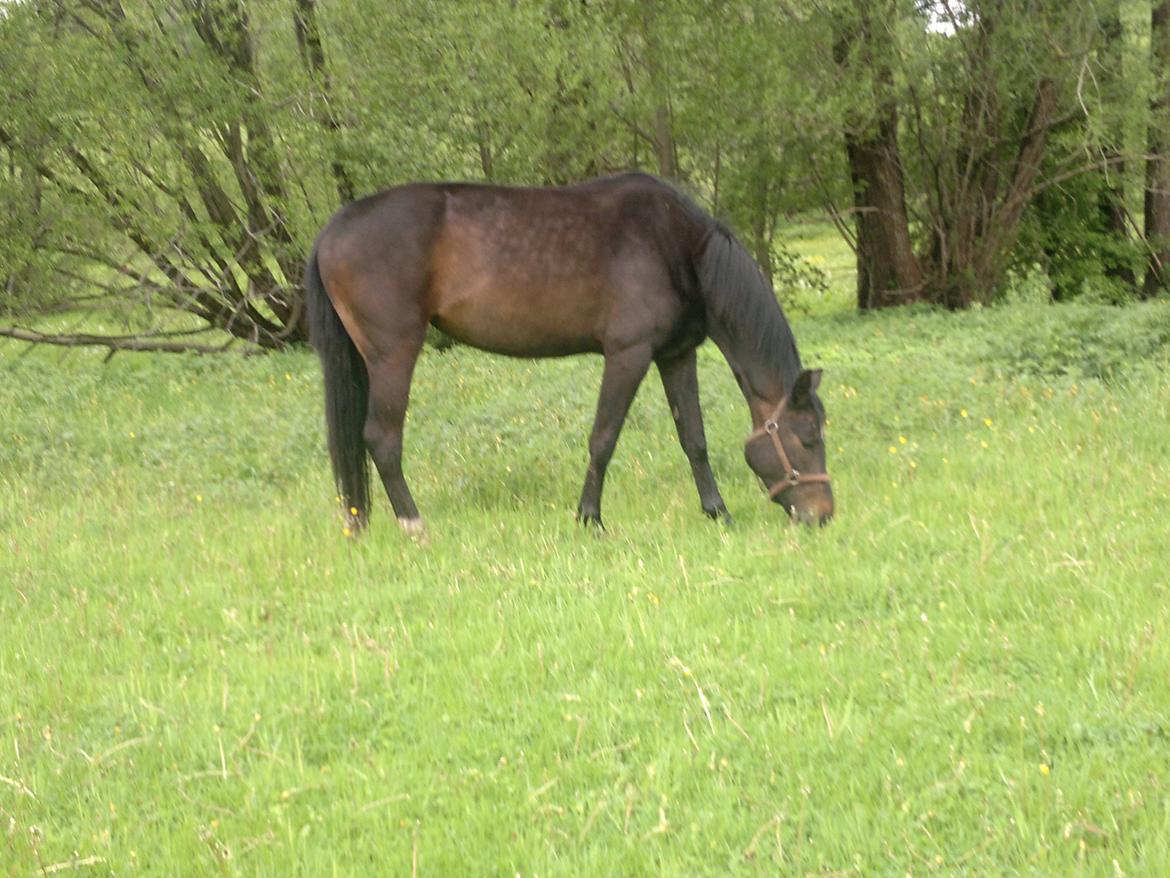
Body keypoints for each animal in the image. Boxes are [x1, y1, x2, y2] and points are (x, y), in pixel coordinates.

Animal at [301, 169, 833, 536]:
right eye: (807, 438)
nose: (823, 515)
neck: (677, 245)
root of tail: (332, 230)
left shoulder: (676, 355)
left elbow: (694, 439)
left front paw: (717, 511)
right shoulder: (628, 353)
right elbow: (603, 438)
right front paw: (590, 518)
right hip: (393, 355)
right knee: (382, 439)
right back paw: (414, 526)